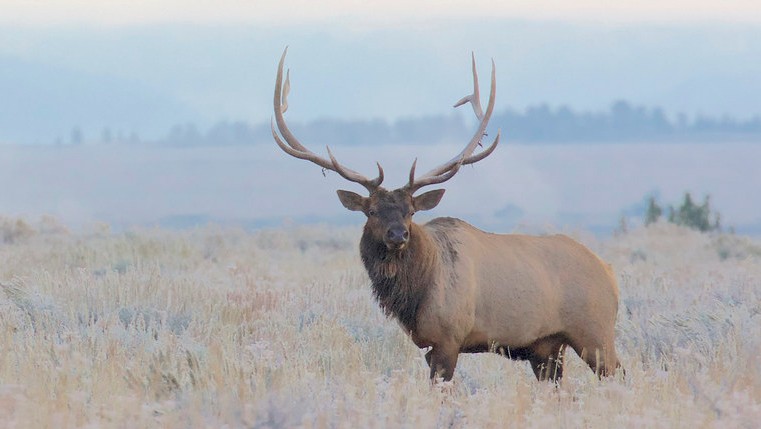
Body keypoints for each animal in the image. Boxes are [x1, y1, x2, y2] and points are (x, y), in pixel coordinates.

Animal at [271, 48, 622, 383]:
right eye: (371, 211)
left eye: (411, 211)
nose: (398, 235)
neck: (416, 294)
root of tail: (609, 273)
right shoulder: (430, 345)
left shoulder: (449, 338)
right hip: (548, 347)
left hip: (595, 333)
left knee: (618, 374)